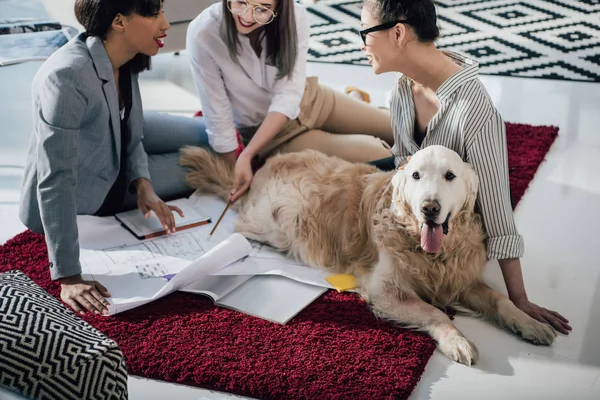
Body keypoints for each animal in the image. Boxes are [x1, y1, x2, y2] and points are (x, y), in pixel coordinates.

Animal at [180, 145, 556, 364]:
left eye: (450, 176)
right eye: (416, 175)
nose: (430, 208)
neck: (431, 253)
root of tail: (258, 171)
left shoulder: (459, 277)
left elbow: (500, 300)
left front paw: (530, 323)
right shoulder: (385, 292)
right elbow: (434, 312)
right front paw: (457, 341)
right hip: (273, 223)